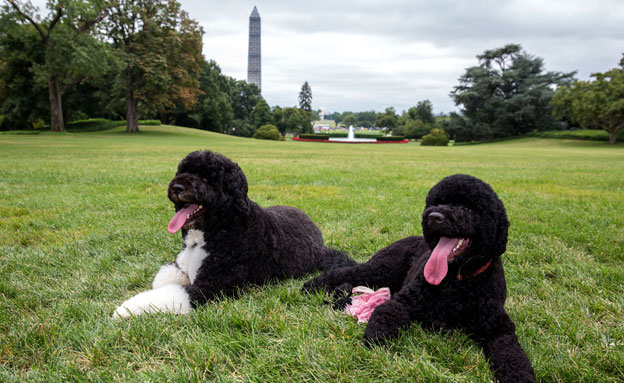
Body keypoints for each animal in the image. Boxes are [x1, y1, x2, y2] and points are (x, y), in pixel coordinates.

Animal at [114, 152, 354, 320]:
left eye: (206, 178)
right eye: (182, 171)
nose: (177, 186)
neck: (218, 228)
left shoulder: (214, 285)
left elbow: (173, 293)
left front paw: (127, 308)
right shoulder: (182, 265)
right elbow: (164, 278)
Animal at [304, 176, 536, 382]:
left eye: (467, 208)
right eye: (437, 202)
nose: (433, 216)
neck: (457, 281)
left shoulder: (499, 328)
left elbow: (513, 355)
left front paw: (519, 377)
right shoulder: (404, 302)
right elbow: (386, 313)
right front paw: (375, 341)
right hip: (380, 269)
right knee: (348, 272)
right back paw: (311, 285)